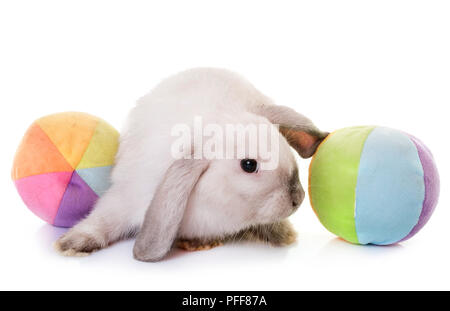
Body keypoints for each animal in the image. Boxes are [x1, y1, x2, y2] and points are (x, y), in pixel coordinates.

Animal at [54, 69, 326, 264]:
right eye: (249, 165)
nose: (298, 198)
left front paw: (283, 234)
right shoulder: (127, 195)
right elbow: (104, 219)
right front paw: (71, 244)